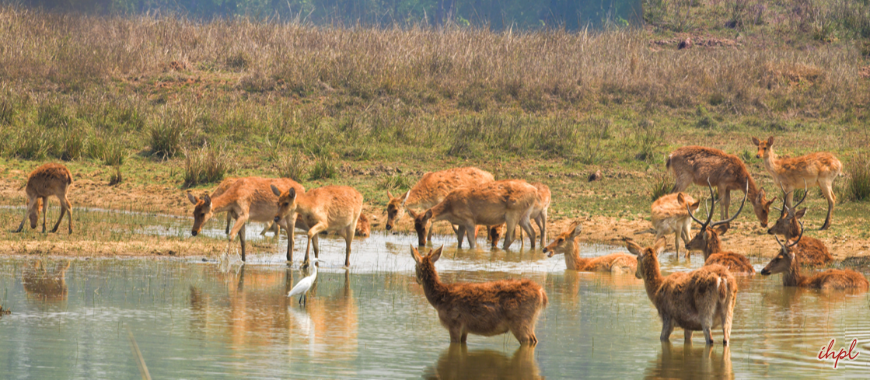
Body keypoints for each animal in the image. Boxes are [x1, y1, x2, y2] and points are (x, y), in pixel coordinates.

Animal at [408, 180, 540, 251]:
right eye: (415, 227)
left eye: (423, 227)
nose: (421, 243)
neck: (450, 209)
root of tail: (534, 191)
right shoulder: (461, 223)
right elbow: (459, 239)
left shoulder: (469, 219)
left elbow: (471, 240)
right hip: (524, 215)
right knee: (532, 232)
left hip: (513, 213)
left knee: (511, 236)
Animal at [410, 245, 548, 346]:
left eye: (415, 266)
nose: (416, 280)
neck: (439, 299)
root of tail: (541, 292)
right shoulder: (465, 329)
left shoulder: (454, 322)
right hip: (530, 321)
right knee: (534, 340)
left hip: (520, 320)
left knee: (528, 340)